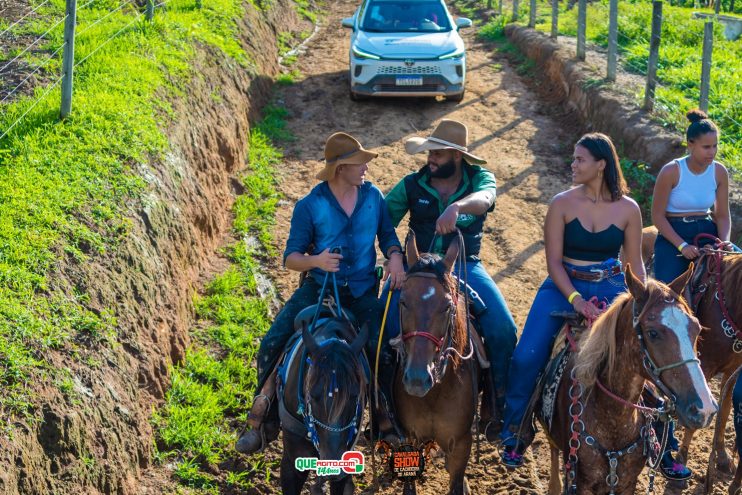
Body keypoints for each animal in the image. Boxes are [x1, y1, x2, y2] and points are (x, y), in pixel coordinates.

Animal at [396, 233, 482, 495]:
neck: (435, 393)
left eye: (446, 307)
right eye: (402, 301)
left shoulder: (461, 445)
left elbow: (456, 481)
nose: (416, 380)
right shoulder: (411, 436)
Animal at [548, 266, 716, 494]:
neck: (613, 420)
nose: (704, 408)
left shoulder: (628, 482)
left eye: (696, 328)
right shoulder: (581, 484)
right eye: (653, 333)